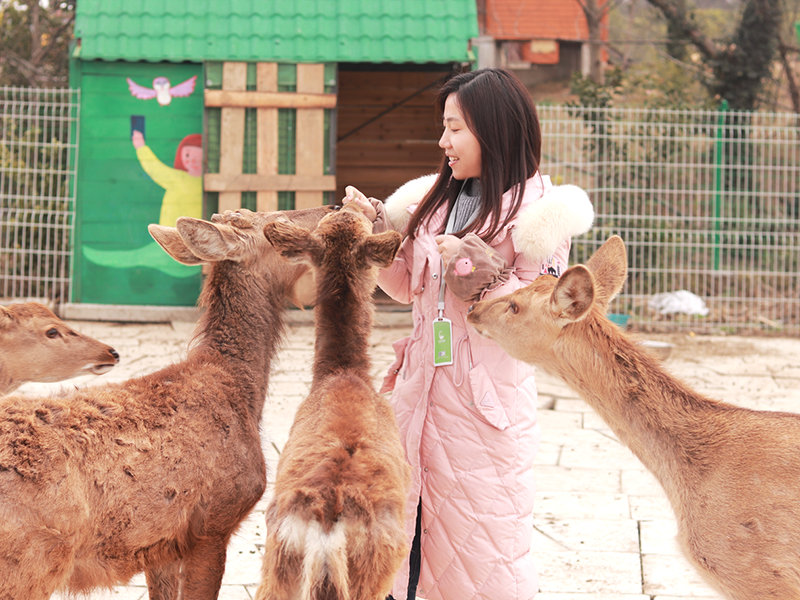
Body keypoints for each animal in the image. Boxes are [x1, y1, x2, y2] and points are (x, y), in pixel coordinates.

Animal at [0, 205, 335, 600]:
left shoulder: (159, 543)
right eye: (277, 221)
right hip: (30, 559)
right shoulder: (213, 522)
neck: (240, 392)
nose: (333, 207)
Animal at [256, 202, 410, 600]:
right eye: (364, 223)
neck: (343, 373)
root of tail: (326, 529)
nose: (344, 204)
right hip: (375, 566)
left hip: (278, 560)